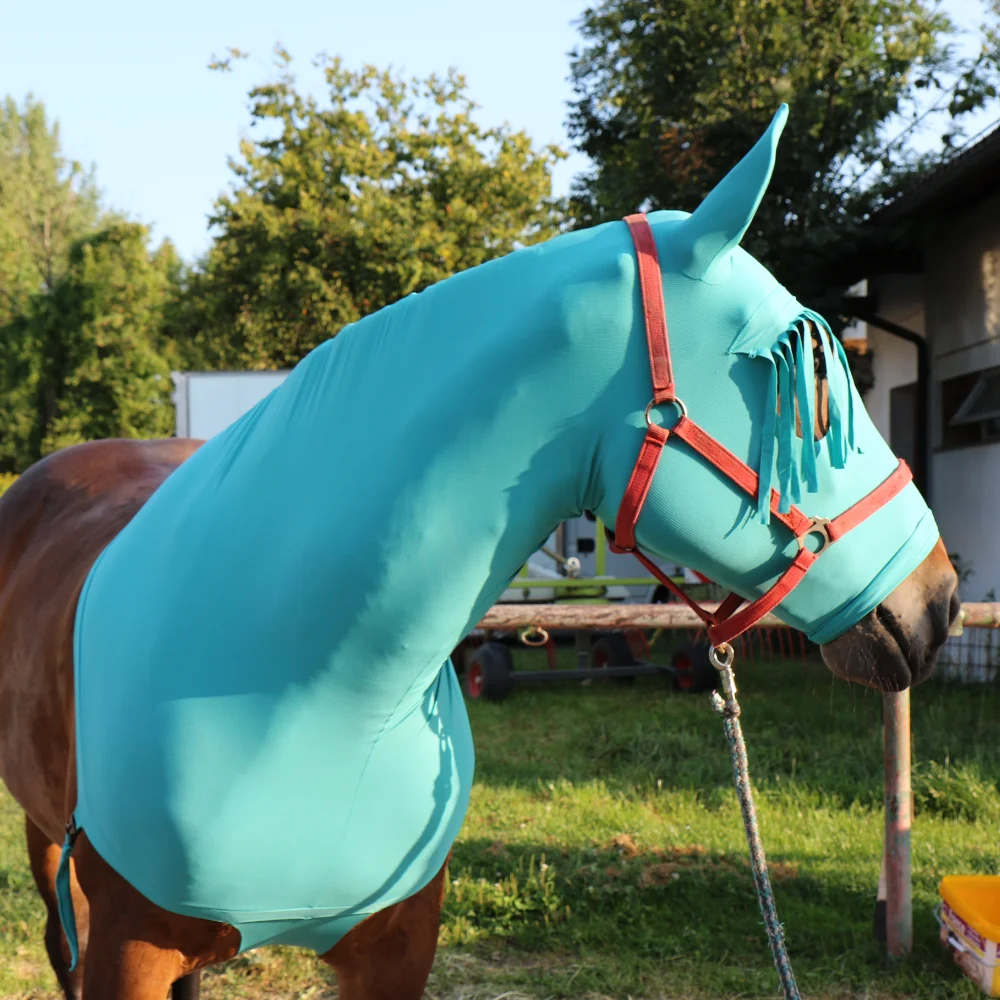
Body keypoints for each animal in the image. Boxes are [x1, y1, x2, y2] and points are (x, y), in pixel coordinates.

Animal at [0, 104, 959, 1000]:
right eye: (809, 378)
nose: (941, 598)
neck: (309, 694)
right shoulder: (127, 946)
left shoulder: (399, 944)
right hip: (48, 849)